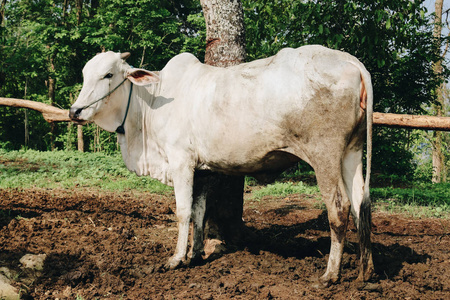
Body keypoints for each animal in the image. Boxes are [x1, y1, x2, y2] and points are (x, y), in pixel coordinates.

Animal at [69, 45, 372, 288]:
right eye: (84, 74)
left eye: (108, 75)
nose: (75, 111)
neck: (152, 102)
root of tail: (351, 61)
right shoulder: (203, 170)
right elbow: (199, 213)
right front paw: (196, 254)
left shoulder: (180, 162)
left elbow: (182, 212)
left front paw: (176, 258)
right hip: (352, 151)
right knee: (361, 204)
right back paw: (365, 272)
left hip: (325, 155)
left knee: (340, 207)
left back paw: (330, 275)